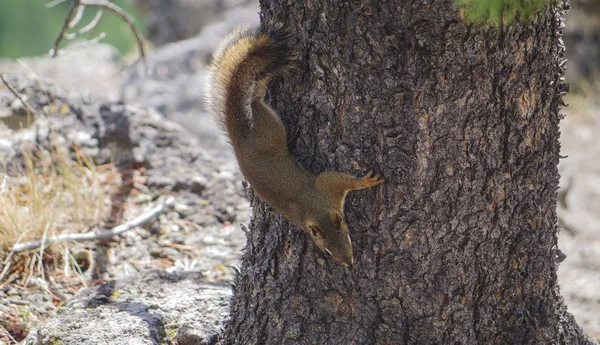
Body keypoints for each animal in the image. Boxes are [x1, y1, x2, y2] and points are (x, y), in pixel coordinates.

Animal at [209, 24, 382, 266]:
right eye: (327, 251)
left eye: (347, 236)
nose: (349, 264)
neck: (312, 209)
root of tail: (237, 133)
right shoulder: (324, 192)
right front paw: (365, 182)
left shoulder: (326, 189)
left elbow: (335, 178)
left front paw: (364, 182)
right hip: (271, 130)